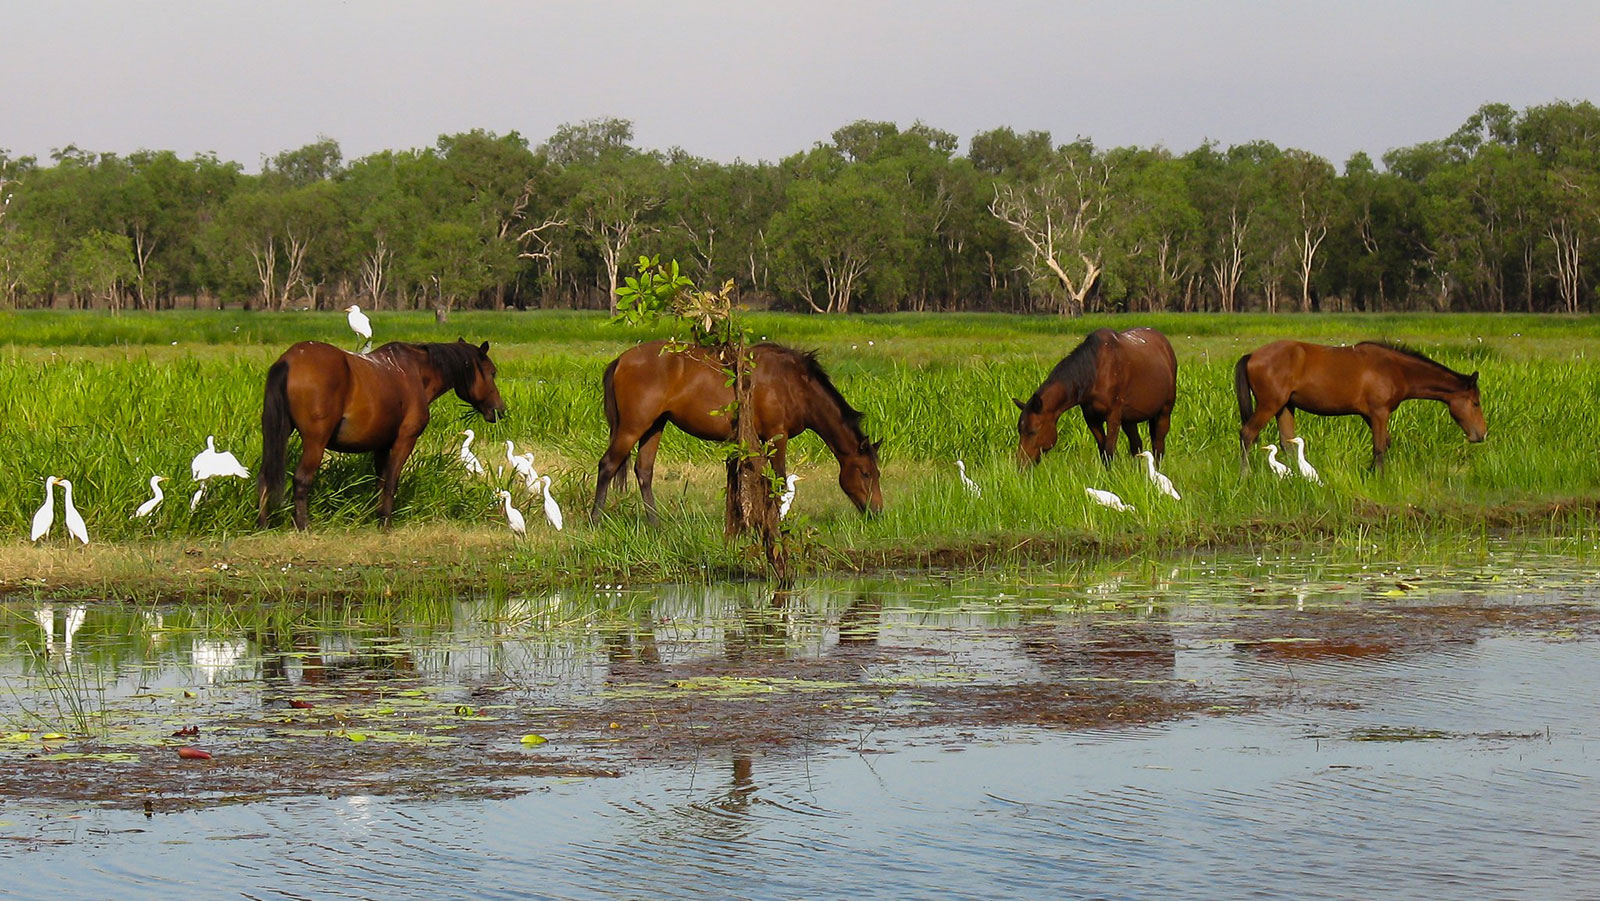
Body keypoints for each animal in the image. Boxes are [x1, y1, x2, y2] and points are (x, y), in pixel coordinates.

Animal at [257, 342, 505, 531]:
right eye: (492, 373)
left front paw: (374, 517)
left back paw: (263, 523)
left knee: (265, 475)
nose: (499, 410)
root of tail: (289, 359)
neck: (415, 372)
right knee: (302, 479)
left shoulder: (381, 446)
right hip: (315, 442)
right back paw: (303, 525)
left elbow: (380, 482)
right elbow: (392, 481)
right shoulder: (404, 441)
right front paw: (385, 522)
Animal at [592, 340, 883, 524]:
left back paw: (655, 523)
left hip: (654, 426)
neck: (794, 384)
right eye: (865, 473)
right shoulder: (777, 437)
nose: (877, 511)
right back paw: (596, 520)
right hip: (632, 427)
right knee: (607, 466)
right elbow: (779, 480)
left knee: (644, 471)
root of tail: (621, 359)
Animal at [1017, 326, 1184, 464]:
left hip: (1164, 412)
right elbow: (1103, 452)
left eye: (1033, 431)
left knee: (1158, 446)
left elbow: (1109, 451)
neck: (1096, 370)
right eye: (1020, 430)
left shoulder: (1113, 417)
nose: (1021, 465)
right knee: (1136, 445)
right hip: (1129, 419)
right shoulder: (1092, 419)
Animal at [1235, 340, 1484, 473]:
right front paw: (1379, 477)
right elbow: (1380, 447)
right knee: (1247, 433)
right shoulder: (1379, 412)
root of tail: (1252, 355)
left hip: (1285, 407)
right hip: (1269, 404)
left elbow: (1385, 443)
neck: (1395, 369)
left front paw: (1371, 471)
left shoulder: (1369, 415)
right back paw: (1245, 474)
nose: (1481, 435)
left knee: (1287, 443)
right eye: (1475, 403)